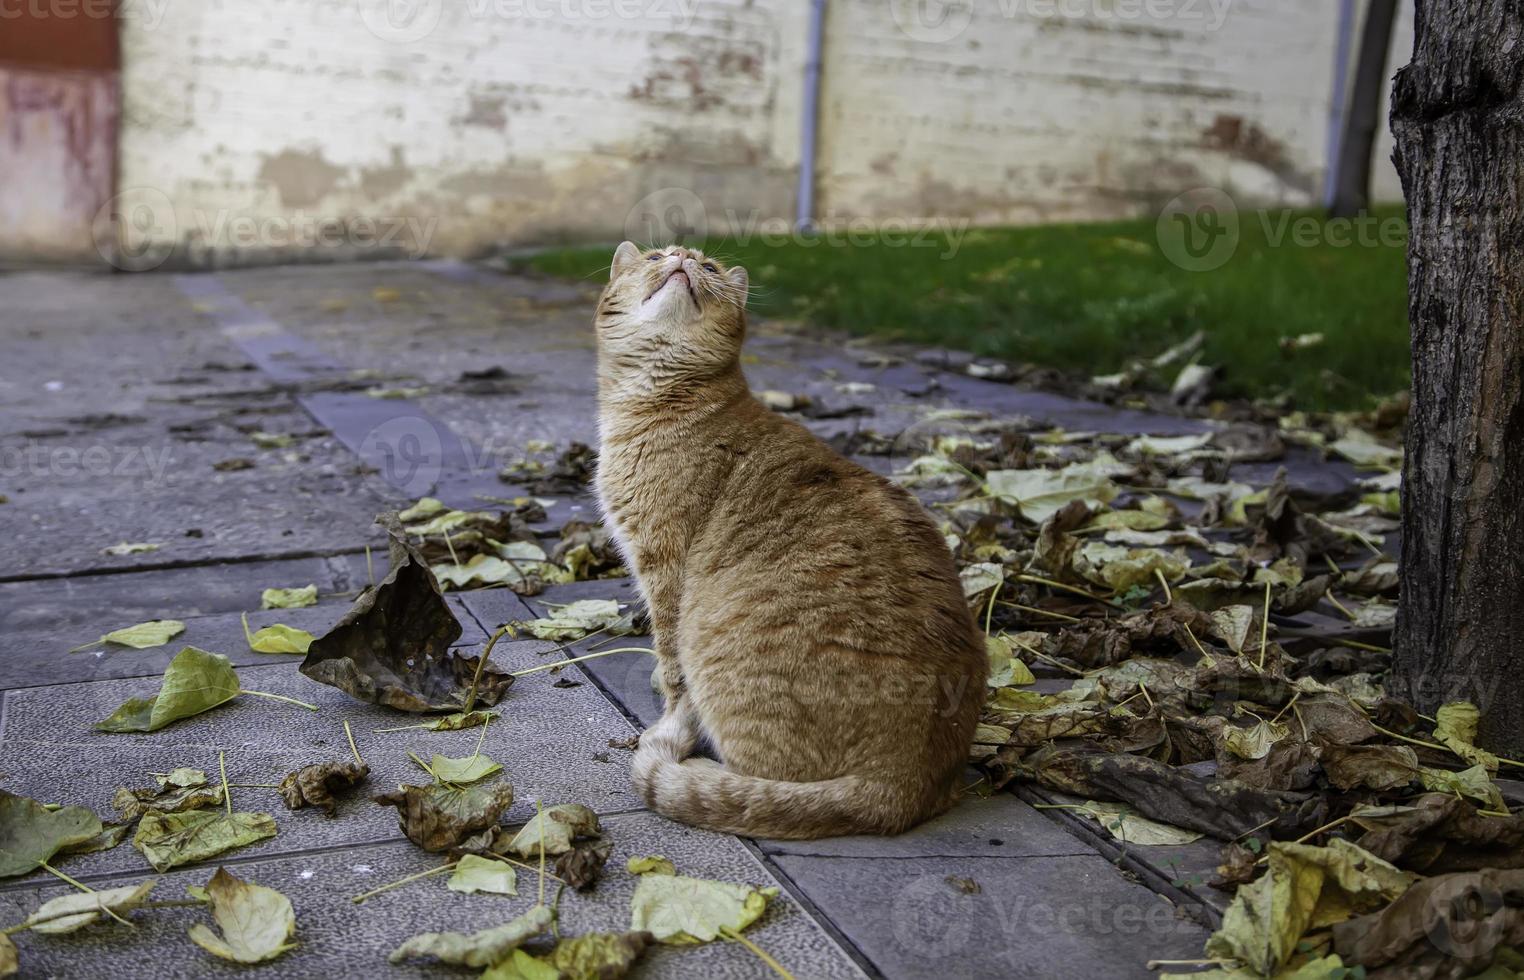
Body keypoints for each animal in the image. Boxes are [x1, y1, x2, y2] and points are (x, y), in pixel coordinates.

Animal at [588, 240, 981, 841]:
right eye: (656, 255)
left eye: (710, 267)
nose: (682, 256)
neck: (660, 399)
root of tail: (904, 785)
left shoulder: (664, 570)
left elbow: (671, 664)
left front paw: (669, 712)